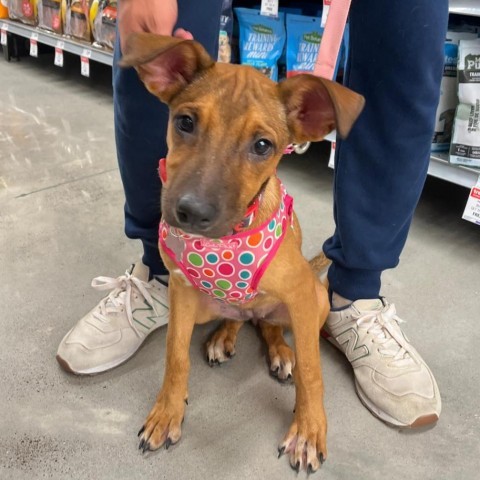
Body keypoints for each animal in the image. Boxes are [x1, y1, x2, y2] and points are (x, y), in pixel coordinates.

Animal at [121, 32, 364, 472]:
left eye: (263, 145)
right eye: (185, 122)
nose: (190, 212)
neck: (228, 238)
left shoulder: (301, 296)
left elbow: (312, 370)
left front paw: (308, 430)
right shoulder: (181, 292)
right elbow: (175, 356)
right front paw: (167, 412)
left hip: (315, 299)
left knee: (270, 325)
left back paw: (281, 351)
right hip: (205, 306)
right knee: (242, 318)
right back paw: (224, 335)